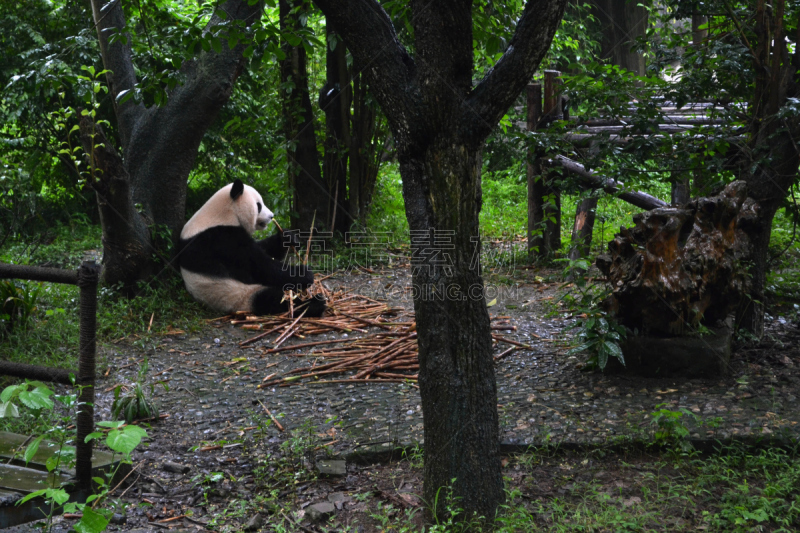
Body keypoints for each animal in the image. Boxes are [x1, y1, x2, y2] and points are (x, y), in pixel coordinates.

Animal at [175, 181, 324, 318]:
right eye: (259, 205)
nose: (271, 216)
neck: (222, 214)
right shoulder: (220, 239)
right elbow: (259, 267)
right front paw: (304, 273)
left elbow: (263, 248)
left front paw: (287, 237)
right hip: (236, 294)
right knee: (272, 299)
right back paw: (313, 304)